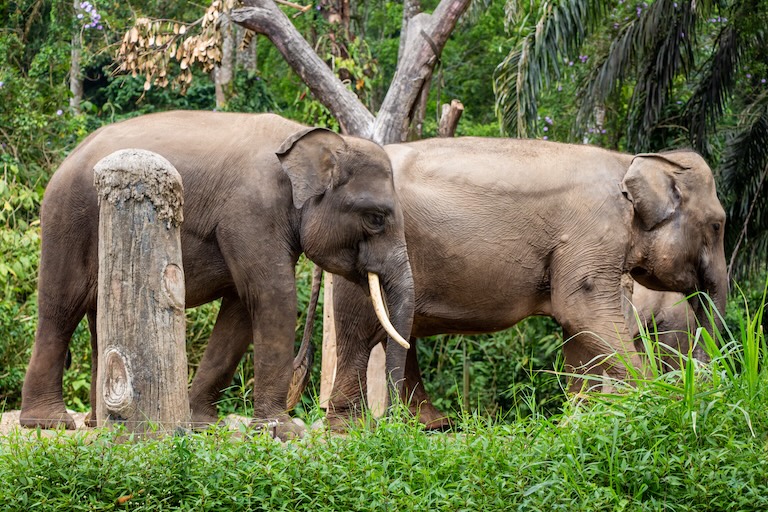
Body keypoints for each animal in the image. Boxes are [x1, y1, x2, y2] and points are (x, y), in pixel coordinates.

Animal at [20, 110, 415, 439]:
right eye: (376, 218)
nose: (394, 425)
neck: (303, 139)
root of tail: (69, 156)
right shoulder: (252, 210)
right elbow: (272, 296)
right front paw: (283, 431)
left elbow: (239, 310)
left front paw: (204, 425)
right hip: (66, 219)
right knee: (60, 308)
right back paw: (49, 423)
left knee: (95, 320)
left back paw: (95, 423)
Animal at [309, 137, 727, 429]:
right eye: (718, 225)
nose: (710, 383)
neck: (631, 161)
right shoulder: (594, 231)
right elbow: (582, 310)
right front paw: (657, 398)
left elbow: (578, 328)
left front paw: (580, 418)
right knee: (359, 332)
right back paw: (354, 427)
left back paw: (427, 423)